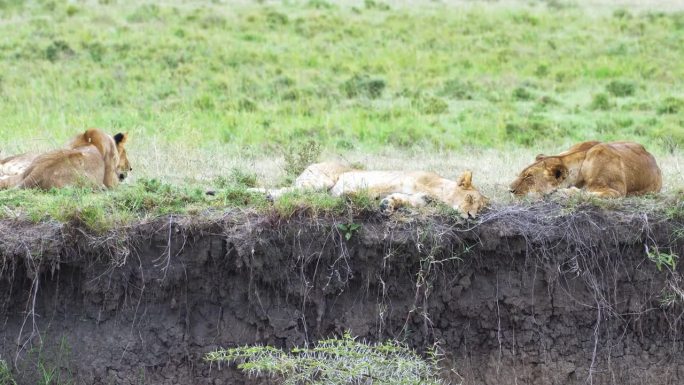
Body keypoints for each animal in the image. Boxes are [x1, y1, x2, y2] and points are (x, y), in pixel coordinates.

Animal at [508, 140, 664, 198]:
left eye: (529, 177)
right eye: (522, 174)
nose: (510, 190)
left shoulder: (617, 191)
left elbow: (586, 193)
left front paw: (564, 191)